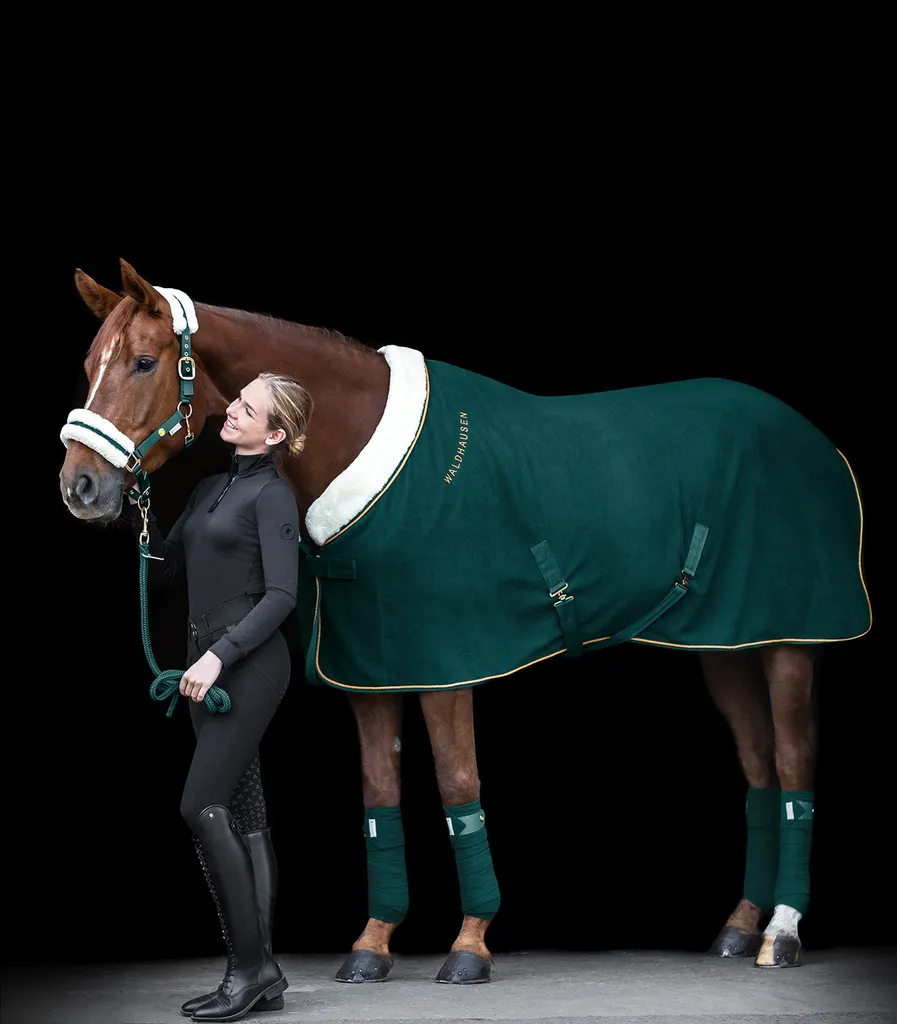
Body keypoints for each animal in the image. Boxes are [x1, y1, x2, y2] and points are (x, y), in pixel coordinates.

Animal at [58, 259, 871, 983]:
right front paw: (372, 946)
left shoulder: (445, 666)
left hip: (789, 646)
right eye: (91, 363)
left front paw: (470, 945)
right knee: (759, 768)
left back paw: (780, 936)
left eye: (142, 362)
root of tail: (817, 443)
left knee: (793, 766)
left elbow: (457, 788)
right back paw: (739, 928)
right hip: (726, 645)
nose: (81, 487)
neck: (368, 455)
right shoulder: (372, 674)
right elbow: (379, 797)